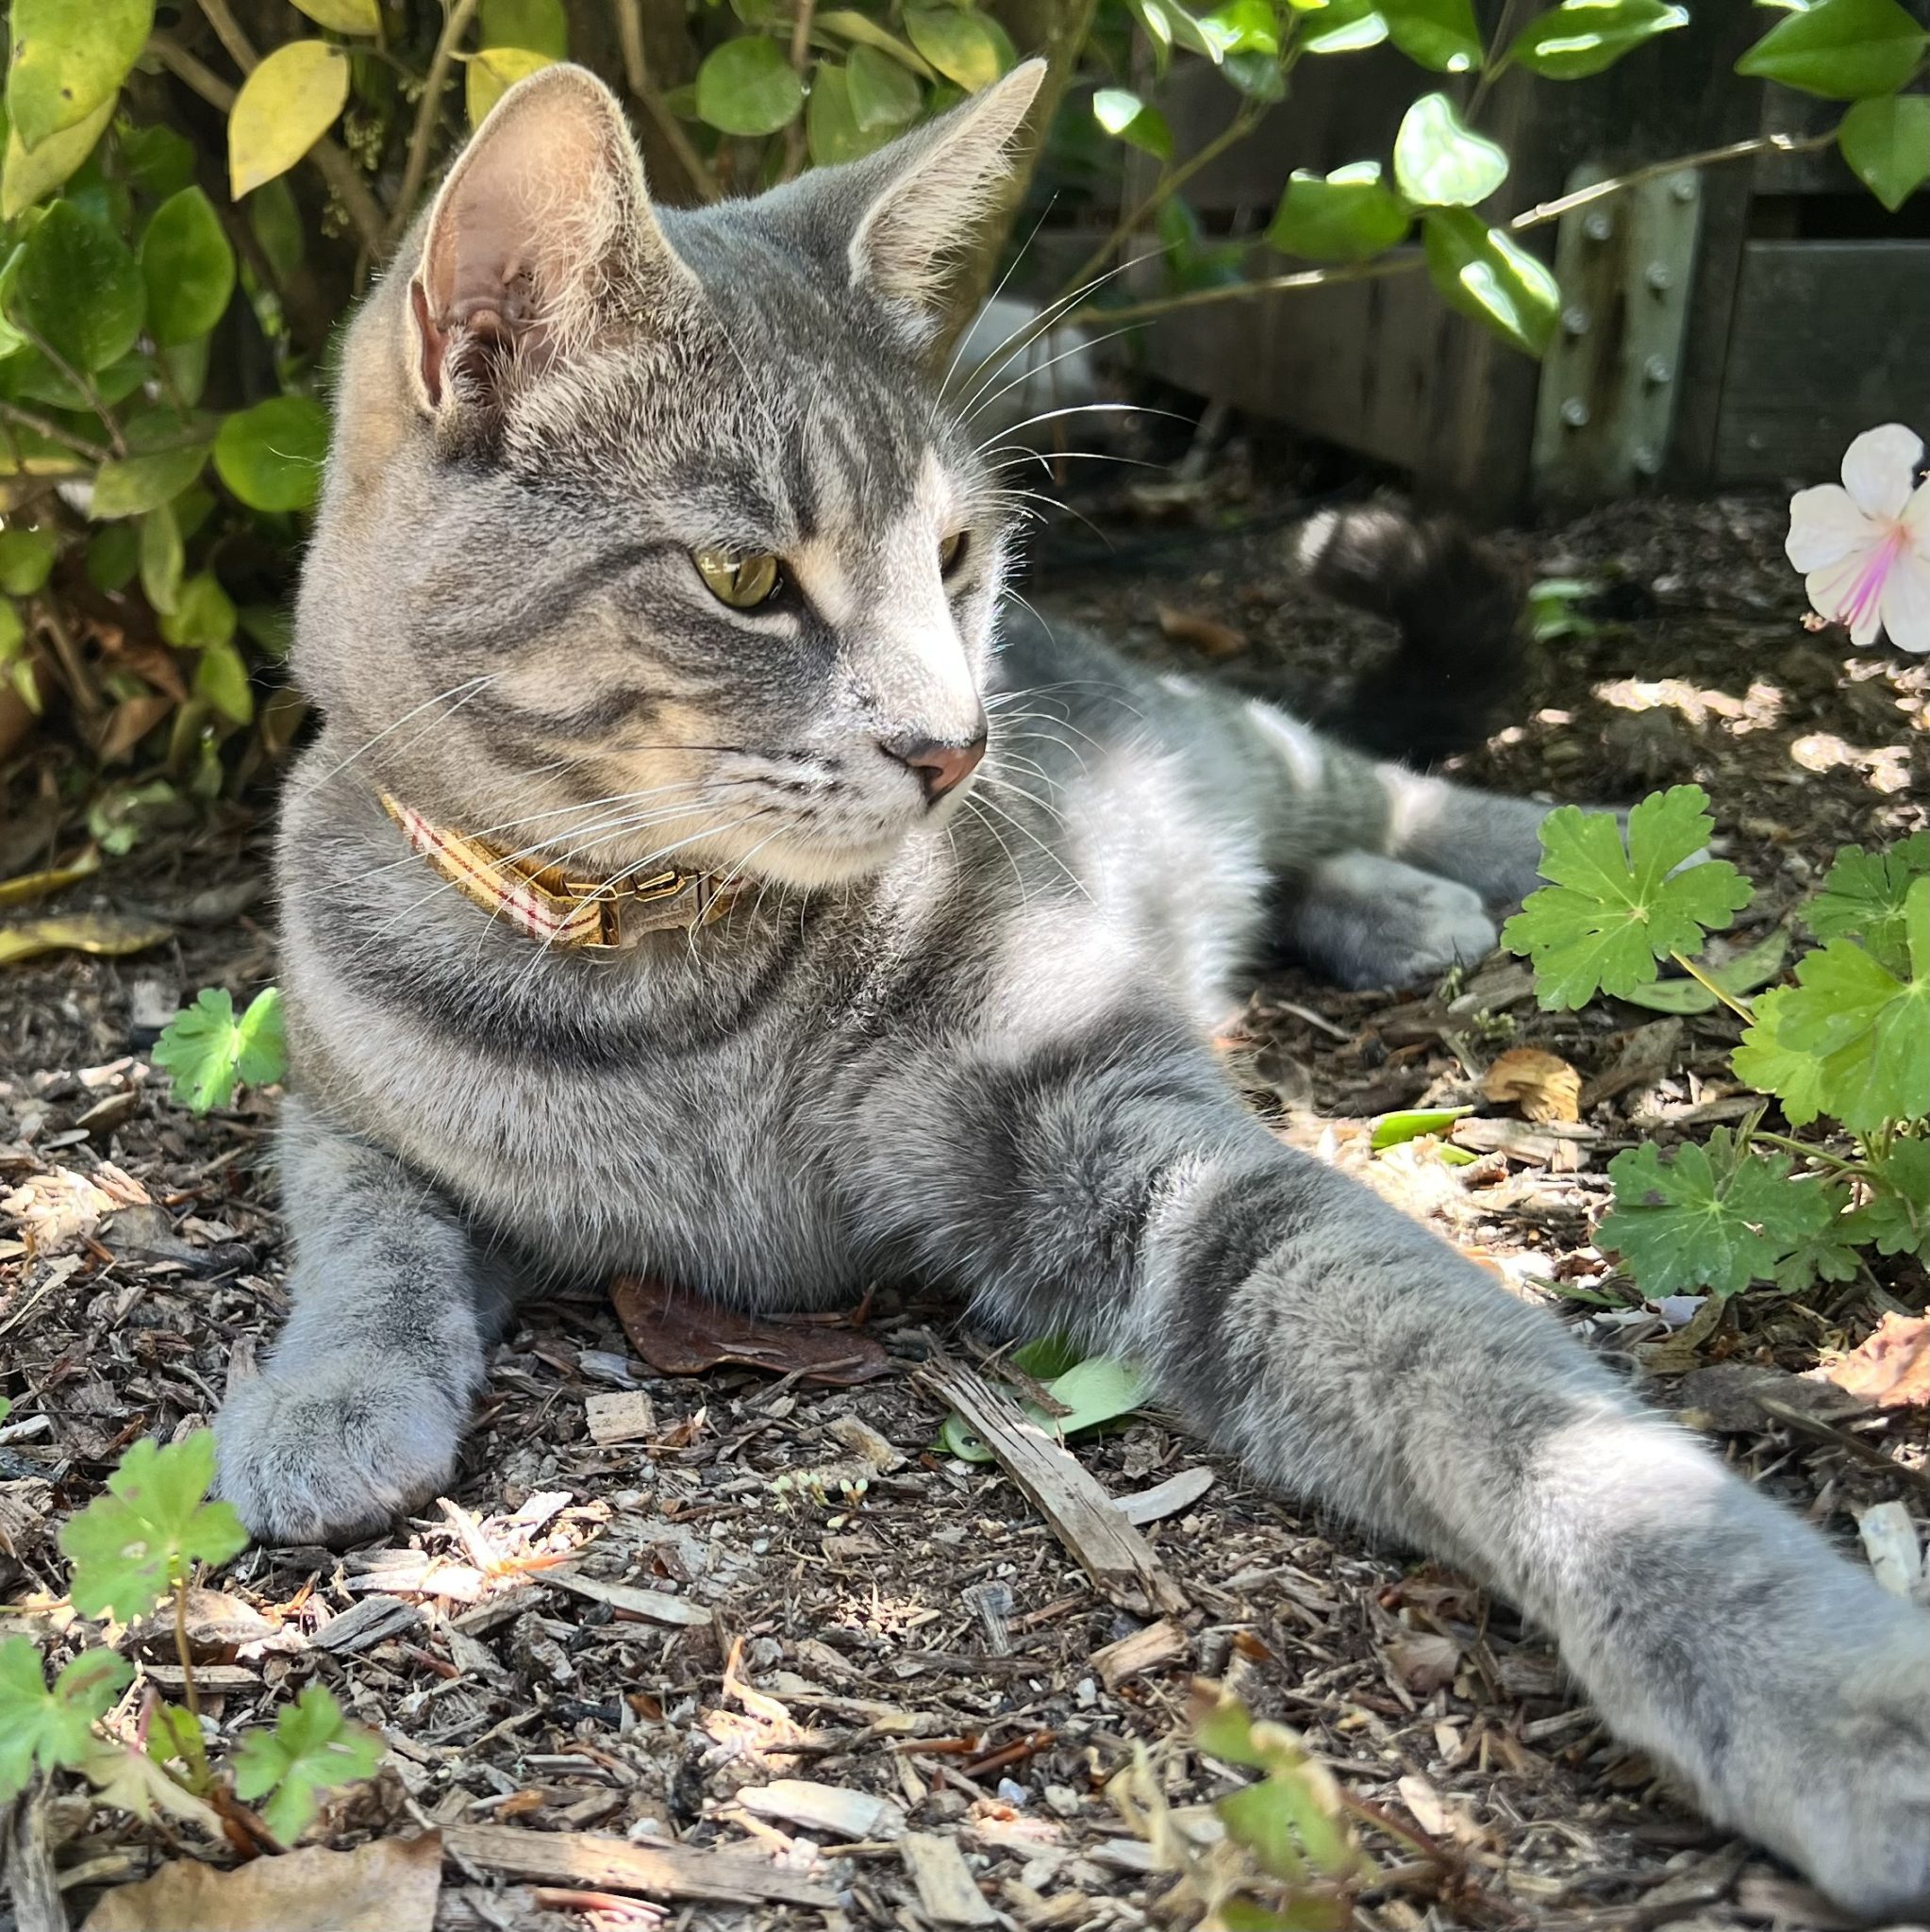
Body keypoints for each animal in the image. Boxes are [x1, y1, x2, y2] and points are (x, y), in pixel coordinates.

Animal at [219, 64, 1930, 1916]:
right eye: (744, 580)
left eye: (957, 552)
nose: (957, 744)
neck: (664, 992)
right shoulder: (339, 1104)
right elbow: (363, 1232)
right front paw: (324, 1396)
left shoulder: (1137, 1136)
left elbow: (1492, 1391)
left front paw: (1823, 1695)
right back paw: (1394, 917)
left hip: (1242, 750)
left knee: (1387, 791)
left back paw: (1578, 856)